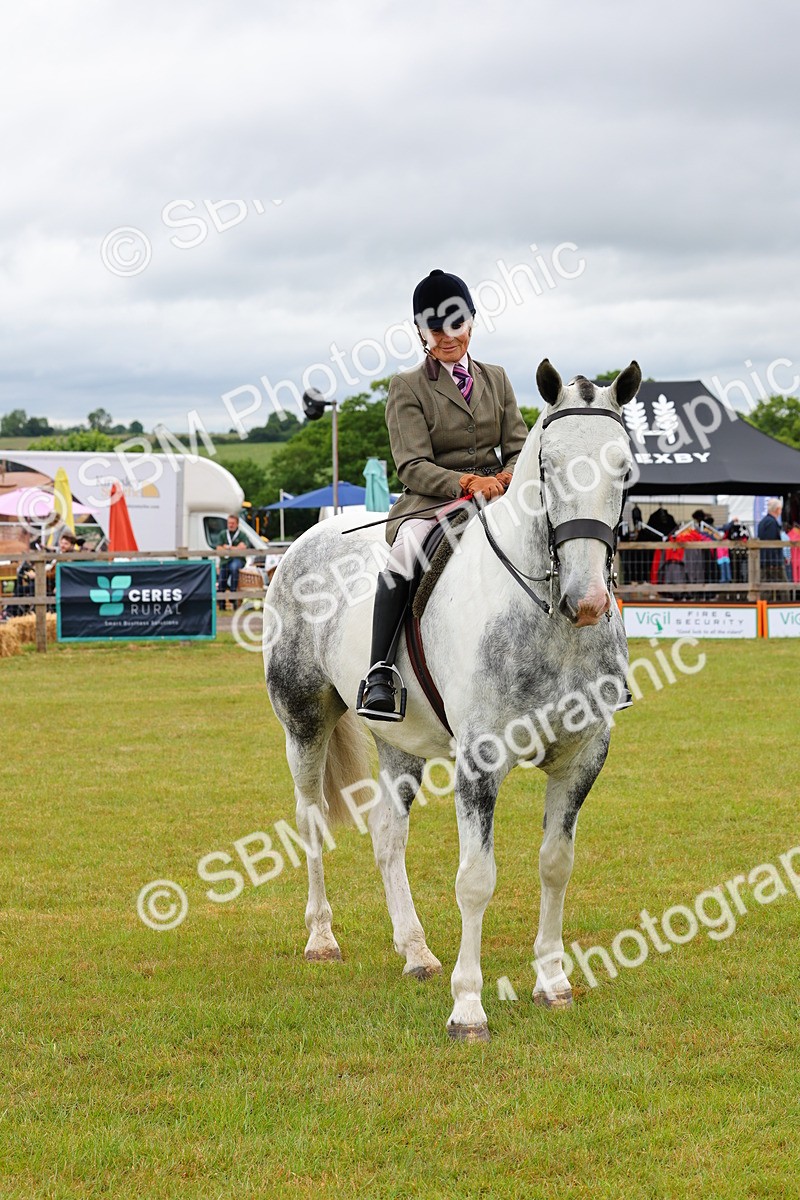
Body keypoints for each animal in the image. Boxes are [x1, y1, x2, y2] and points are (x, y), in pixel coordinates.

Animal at [263, 359, 641, 1041]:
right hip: (303, 722)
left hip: (399, 740)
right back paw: (322, 938)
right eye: (546, 467)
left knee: (388, 835)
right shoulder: (480, 763)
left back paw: (415, 951)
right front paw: (468, 1008)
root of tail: (308, 538)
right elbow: (476, 880)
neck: (548, 620)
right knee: (310, 820)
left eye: (624, 468)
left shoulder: (581, 758)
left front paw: (553, 982)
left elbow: (555, 864)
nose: (588, 601)